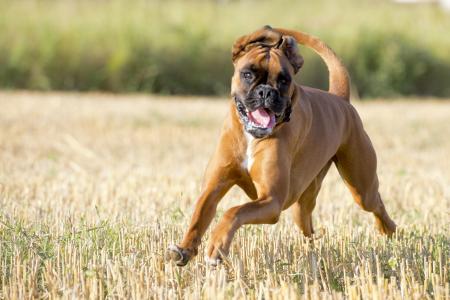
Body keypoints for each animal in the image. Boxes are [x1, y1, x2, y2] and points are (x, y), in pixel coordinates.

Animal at [167, 24, 396, 266]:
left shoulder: (272, 201)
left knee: (376, 203)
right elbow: (198, 216)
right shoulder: (213, 188)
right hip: (301, 204)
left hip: (361, 187)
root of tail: (340, 98)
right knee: (309, 229)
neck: (252, 136)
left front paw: (217, 246)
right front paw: (184, 249)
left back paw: (389, 231)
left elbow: (234, 211)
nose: (266, 91)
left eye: (284, 80)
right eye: (248, 74)